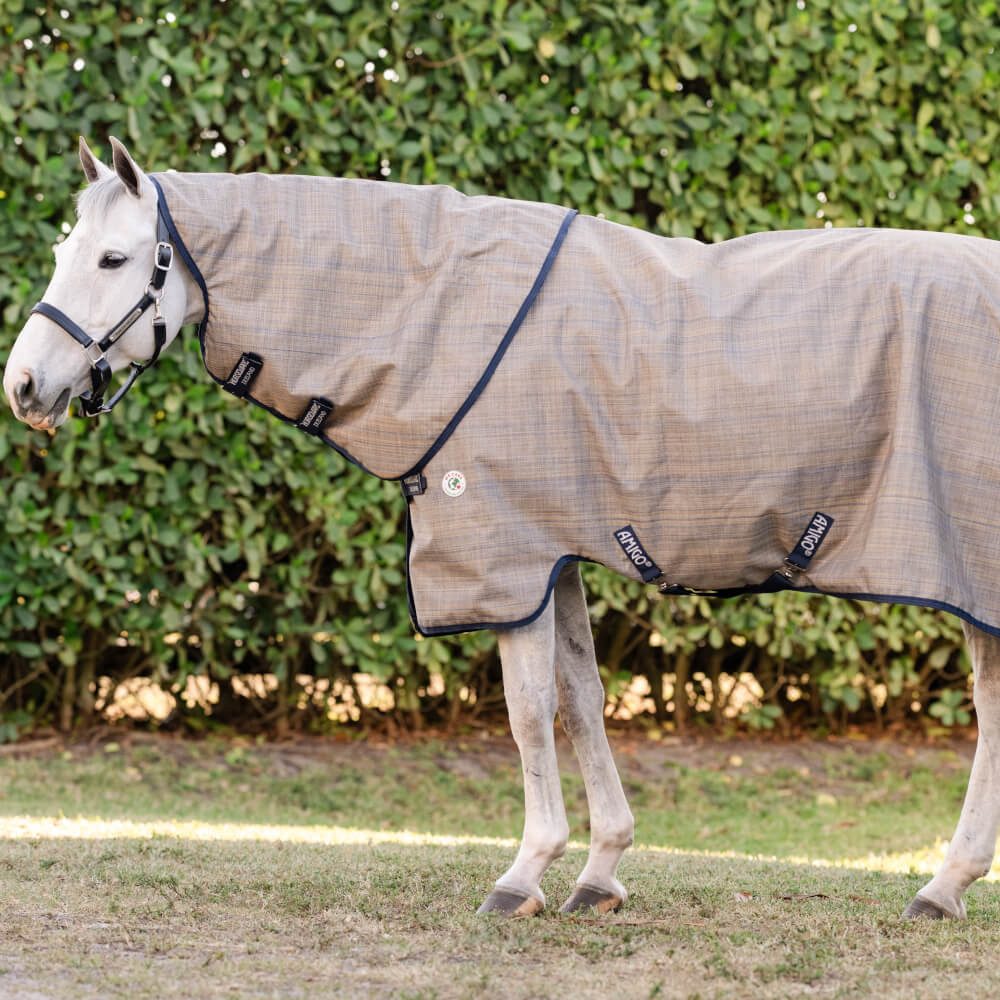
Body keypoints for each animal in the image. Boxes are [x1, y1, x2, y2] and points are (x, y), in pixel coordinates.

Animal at [5, 136, 1000, 921]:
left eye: (113, 260)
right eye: (65, 248)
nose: (23, 386)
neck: (444, 316)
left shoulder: (502, 552)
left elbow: (526, 715)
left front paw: (524, 875)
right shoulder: (554, 555)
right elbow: (580, 699)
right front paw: (601, 873)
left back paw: (943, 885)